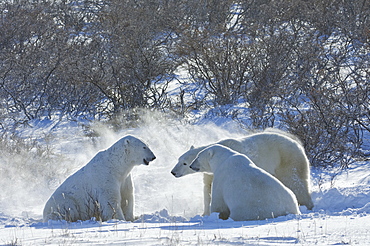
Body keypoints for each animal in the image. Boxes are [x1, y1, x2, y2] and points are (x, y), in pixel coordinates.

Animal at [172, 129, 314, 215]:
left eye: (184, 163)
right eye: (178, 159)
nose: (173, 172)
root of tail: (299, 145)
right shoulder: (209, 174)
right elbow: (208, 190)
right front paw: (204, 213)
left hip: (288, 161)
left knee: (295, 182)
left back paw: (307, 205)